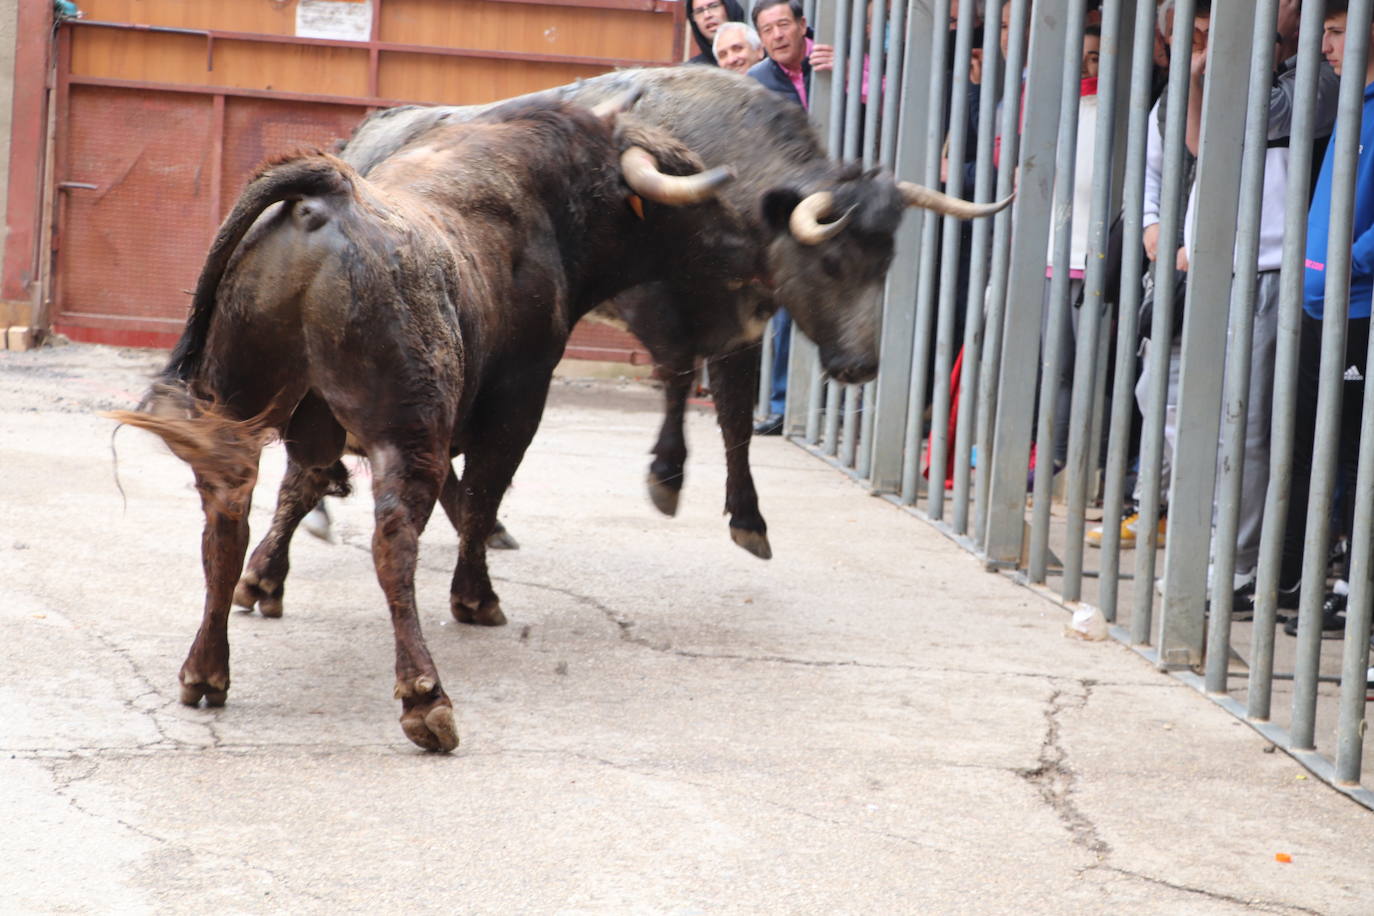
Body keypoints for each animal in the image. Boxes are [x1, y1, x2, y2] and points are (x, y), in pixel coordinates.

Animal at [107, 94, 752, 752]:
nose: (749, 250)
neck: (549, 195)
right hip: (408, 432)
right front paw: (476, 599)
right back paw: (425, 697)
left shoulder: (320, 428)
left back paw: (206, 670)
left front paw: (264, 582)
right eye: (691, 191)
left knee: (224, 524)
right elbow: (481, 499)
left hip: (240, 404)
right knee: (393, 539)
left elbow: (302, 490)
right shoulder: (518, 406)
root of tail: (328, 195)